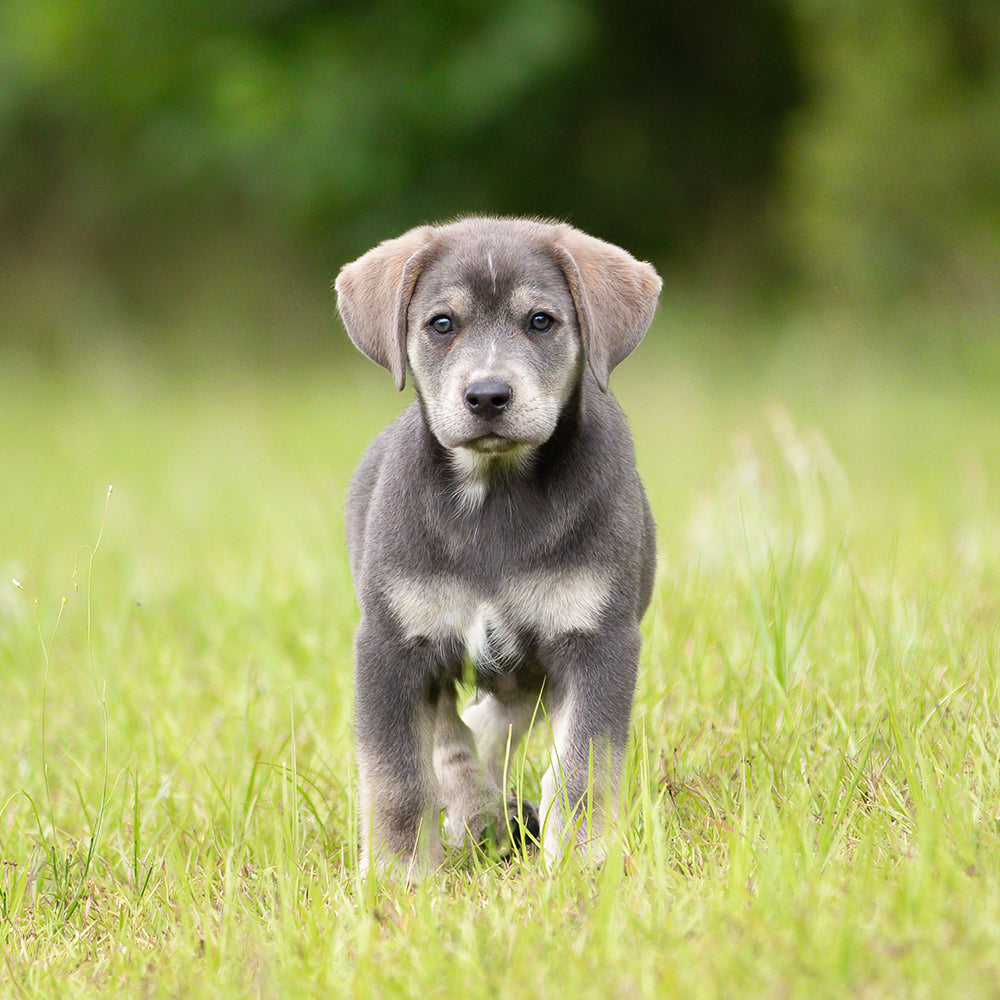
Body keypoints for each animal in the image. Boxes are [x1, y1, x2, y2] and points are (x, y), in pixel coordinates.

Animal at [336, 213, 660, 876]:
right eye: (441, 324)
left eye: (541, 321)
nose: (487, 396)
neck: (494, 496)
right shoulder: (390, 643)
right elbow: (397, 774)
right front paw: (397, 873)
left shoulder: (597, 641)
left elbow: (584, 768)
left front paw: (582, 864)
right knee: (454, 736)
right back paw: (478, 814)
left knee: (490, 725)